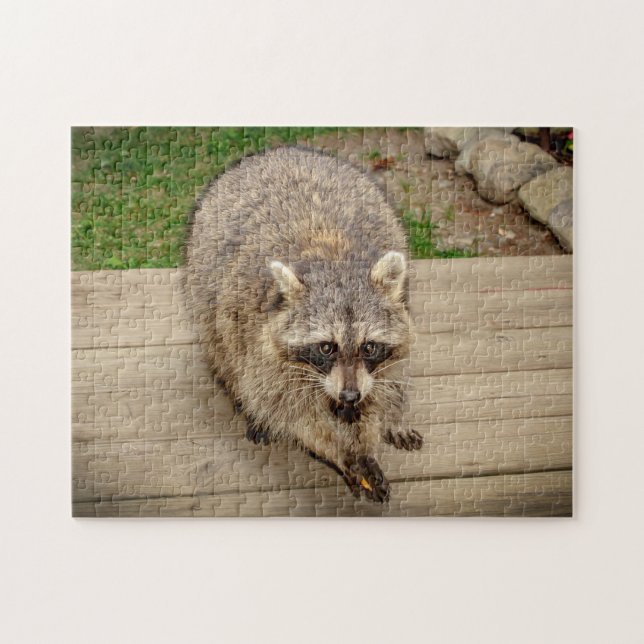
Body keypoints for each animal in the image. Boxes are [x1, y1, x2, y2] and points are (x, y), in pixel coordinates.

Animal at [184, 147, 422, 502]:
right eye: (326, 347)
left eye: (369, 346)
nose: (349, 396)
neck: (334, 258)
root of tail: (279, 151)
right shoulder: (260, 343)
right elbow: (293, 412)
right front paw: (341, 453)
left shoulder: (385, 353)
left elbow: (384, 386)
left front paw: (370, 435)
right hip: (207, 292)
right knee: (224, 353)